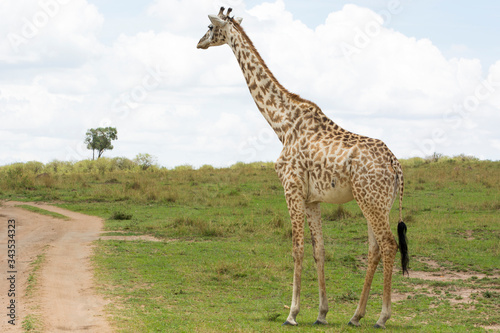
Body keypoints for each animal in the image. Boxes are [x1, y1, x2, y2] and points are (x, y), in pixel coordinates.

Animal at [197, 7, 408, 326]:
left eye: (210, 26)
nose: (199, 43)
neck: (281, 123)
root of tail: (396, 166)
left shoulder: (291, 188)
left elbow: (297, 248)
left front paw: (292, 313)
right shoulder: (313, 199)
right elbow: (319, 249)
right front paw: (321, 313)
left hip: (370, 200)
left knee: (388, 244)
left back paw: (382, 317)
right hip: (378, 202)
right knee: (374, 249)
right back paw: (356, 315)